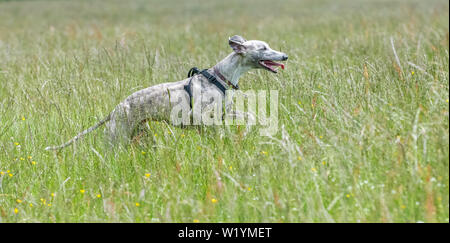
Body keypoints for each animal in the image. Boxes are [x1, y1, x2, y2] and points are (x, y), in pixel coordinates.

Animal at [44, 35, 288, 151]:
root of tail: (113, 111)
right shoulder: (202, 118)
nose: (285, 56)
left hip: (142, 137)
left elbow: (249, 116)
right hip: (117, 138)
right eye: (263, 48)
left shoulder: (222, 114)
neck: (219, 76)